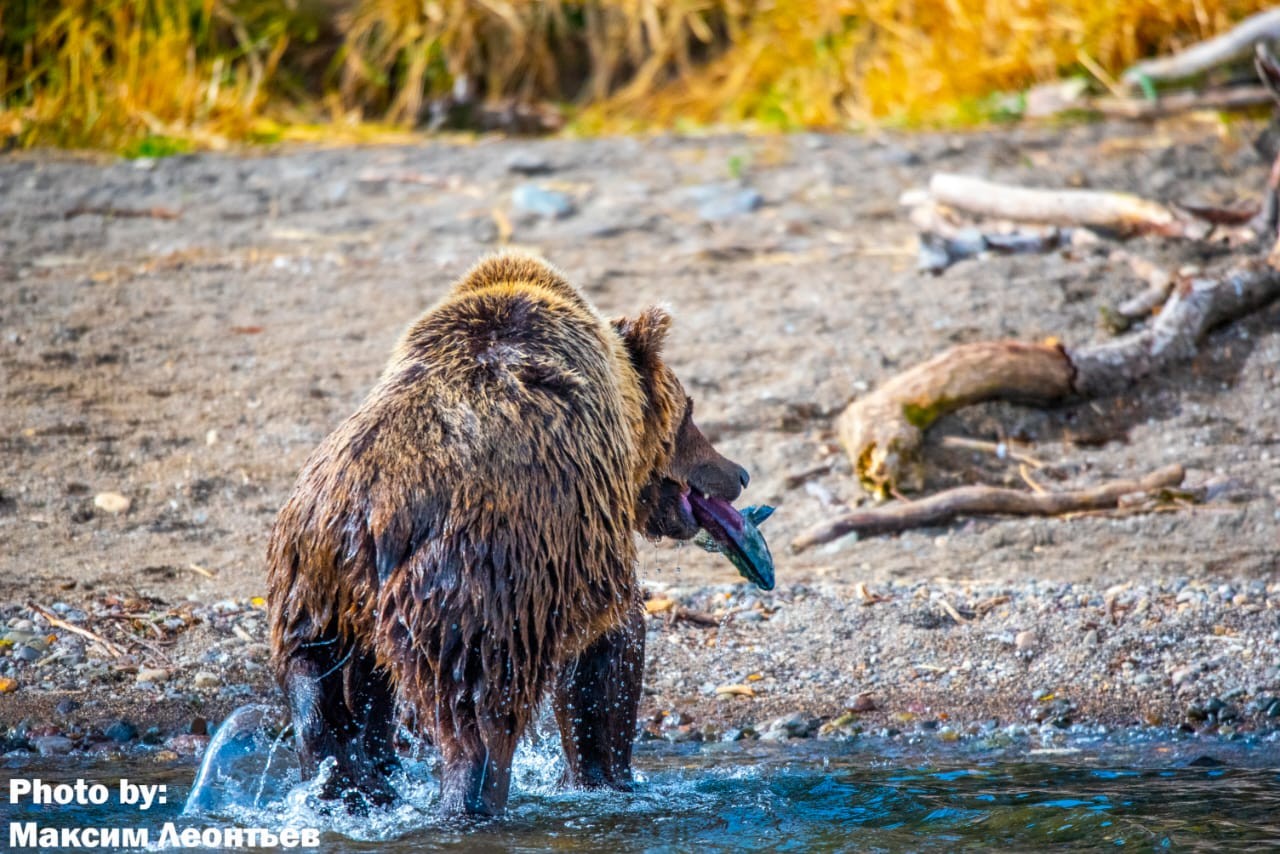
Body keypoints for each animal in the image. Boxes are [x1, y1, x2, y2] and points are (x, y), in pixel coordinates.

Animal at [263, 252, 752, 814]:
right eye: (689, 410)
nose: (738, 473)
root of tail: (372, 519)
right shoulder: (575, 546)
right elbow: (605, 657)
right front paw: (606, 776)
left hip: (313, 588)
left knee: (320, 701)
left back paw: (345, 791)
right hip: (475, 591)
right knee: (477, 722)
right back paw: (470, 800)